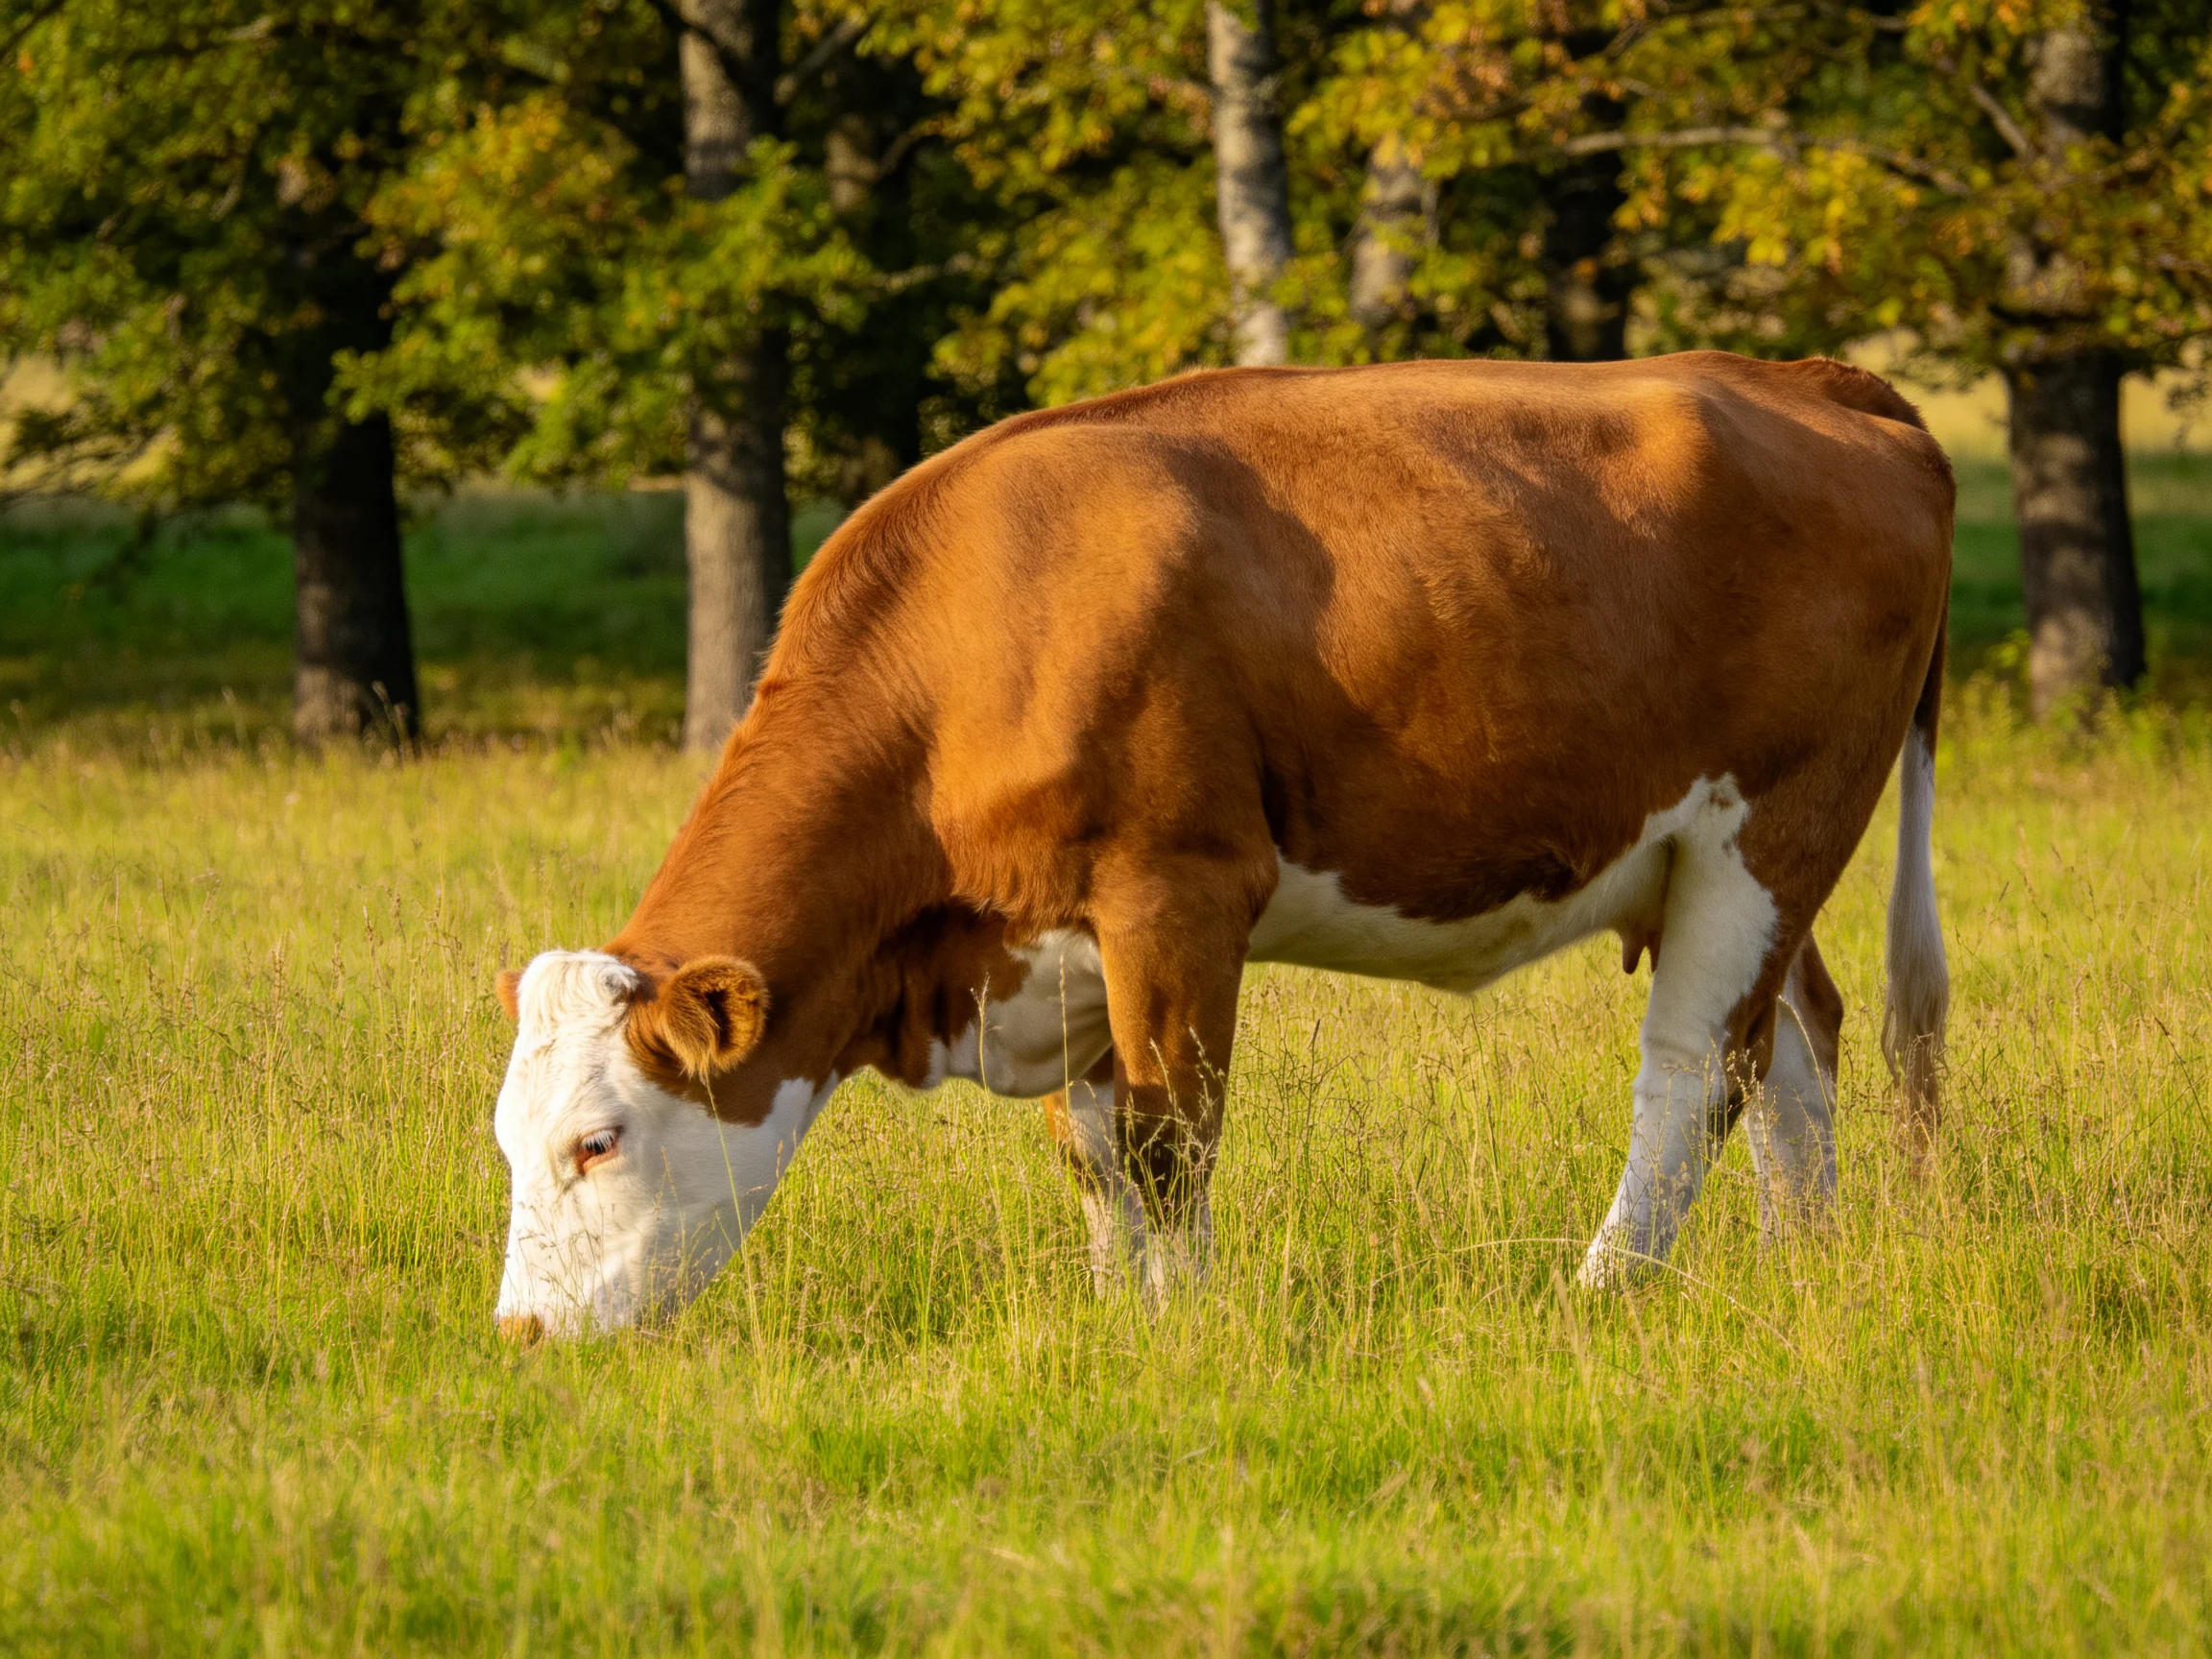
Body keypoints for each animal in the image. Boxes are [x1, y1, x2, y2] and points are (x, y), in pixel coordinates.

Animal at [490, 351, 1952, 1341]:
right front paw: (1119, 1315)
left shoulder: (1177, 892)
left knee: (1694, 1073)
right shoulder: (1060, 948)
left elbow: (1167, 1136)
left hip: (1775, 827)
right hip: (1732, 862)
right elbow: (1092, 1148)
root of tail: (1807, 380)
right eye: (510, 1140)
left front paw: (1182, 1328)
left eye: (598, 1142)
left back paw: (1597, 1289)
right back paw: (1801, 1260)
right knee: (1793, 1045)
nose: (522, 1332)